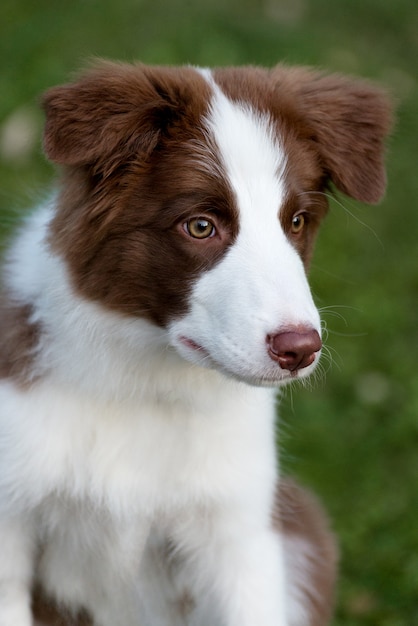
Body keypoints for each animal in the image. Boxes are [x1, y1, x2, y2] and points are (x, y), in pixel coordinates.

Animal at [0, 59, 392, 624]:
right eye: (201, 226)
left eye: (296, 222)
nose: (300, 349)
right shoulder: (10, 522)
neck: (142, 382)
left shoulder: (242, 536)